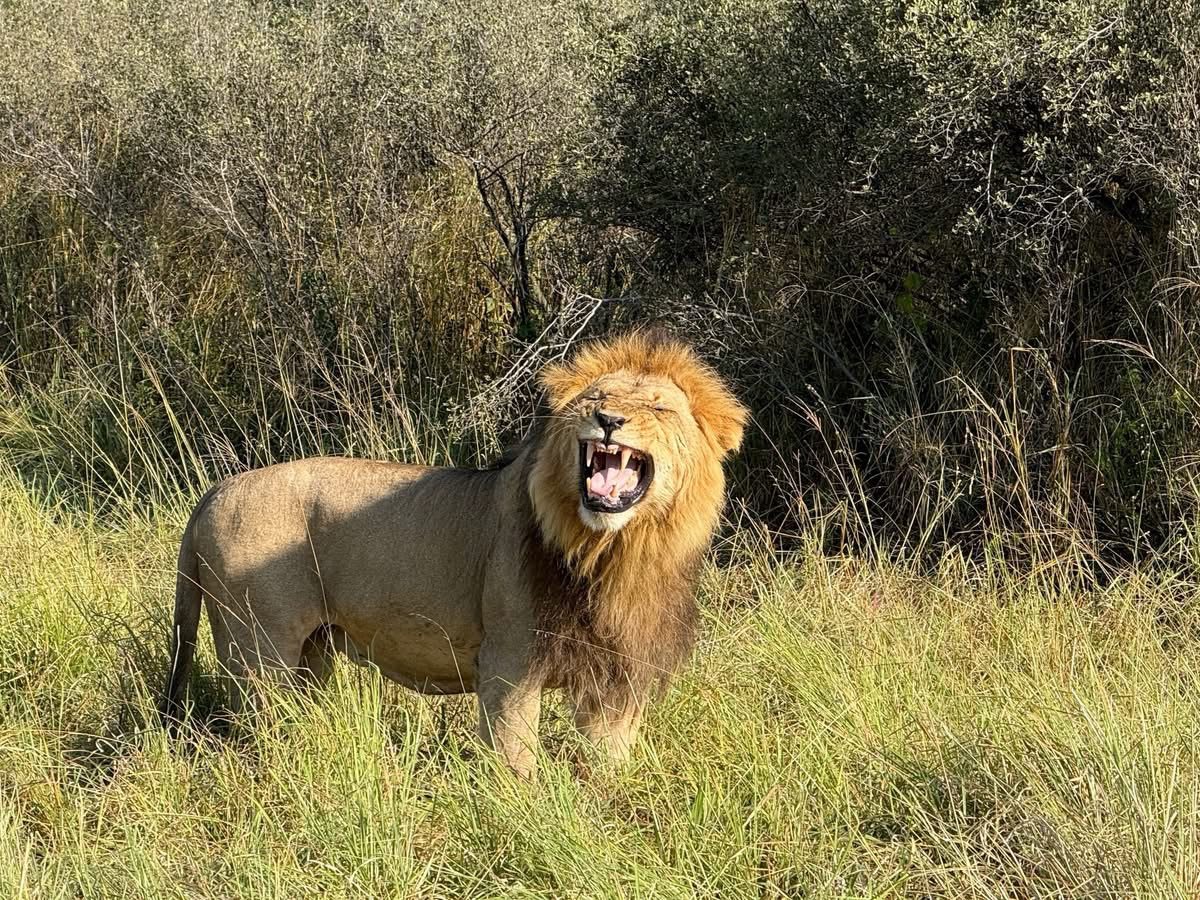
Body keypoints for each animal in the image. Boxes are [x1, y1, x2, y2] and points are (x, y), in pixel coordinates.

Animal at [162, 330, 747, 776]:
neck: (612, 551)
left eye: (658, 407)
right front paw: (521, 815)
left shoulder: (618, 675)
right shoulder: (510, 661)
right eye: (593, 399)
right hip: (259, 651)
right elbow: (514, 756)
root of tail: (215, 491)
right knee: (256, 726)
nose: (608, 420)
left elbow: (607, 762)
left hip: (314, 652)